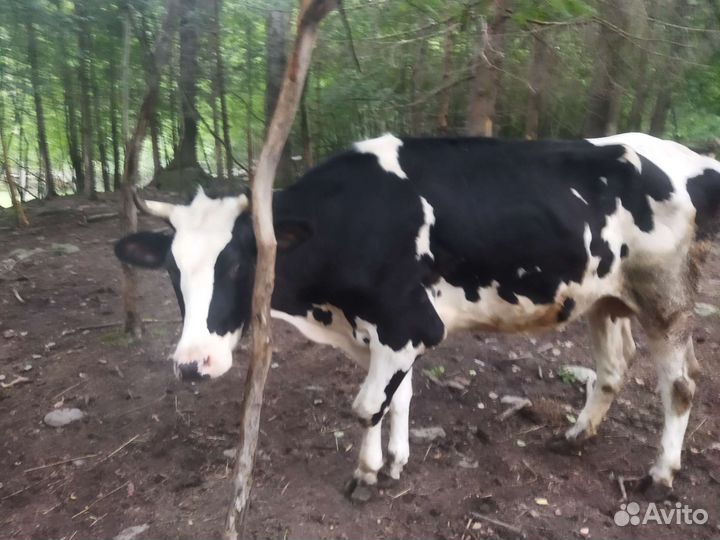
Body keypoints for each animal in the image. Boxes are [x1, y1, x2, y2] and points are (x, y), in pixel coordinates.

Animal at [115, 132, 720, 497]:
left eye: (241, 263)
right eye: (171, 269)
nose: (193, 363)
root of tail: (692, 160)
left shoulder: (410, 323)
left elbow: (365, 406)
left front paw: (365, 474)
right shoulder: (385, 332)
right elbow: (395, 399)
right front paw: (395, 460)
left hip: (665, 297)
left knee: (682, 384)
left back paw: (661, 472)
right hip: (604, 296)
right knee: (613, 368)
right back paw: (575, 436)